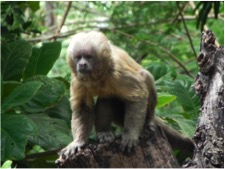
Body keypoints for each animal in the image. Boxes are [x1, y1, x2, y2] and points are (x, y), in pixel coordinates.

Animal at [59, 30, 193, 160]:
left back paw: (147, 121)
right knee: (107, 98)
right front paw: (78, 141)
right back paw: (104, 132)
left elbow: (137, 97)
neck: (98, 75)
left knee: (145, 76)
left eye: (88, 57)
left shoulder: (117, 71)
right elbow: (82, 107)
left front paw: (130, 135)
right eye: (78, 57)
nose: (82, 64)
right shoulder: (77, 79)